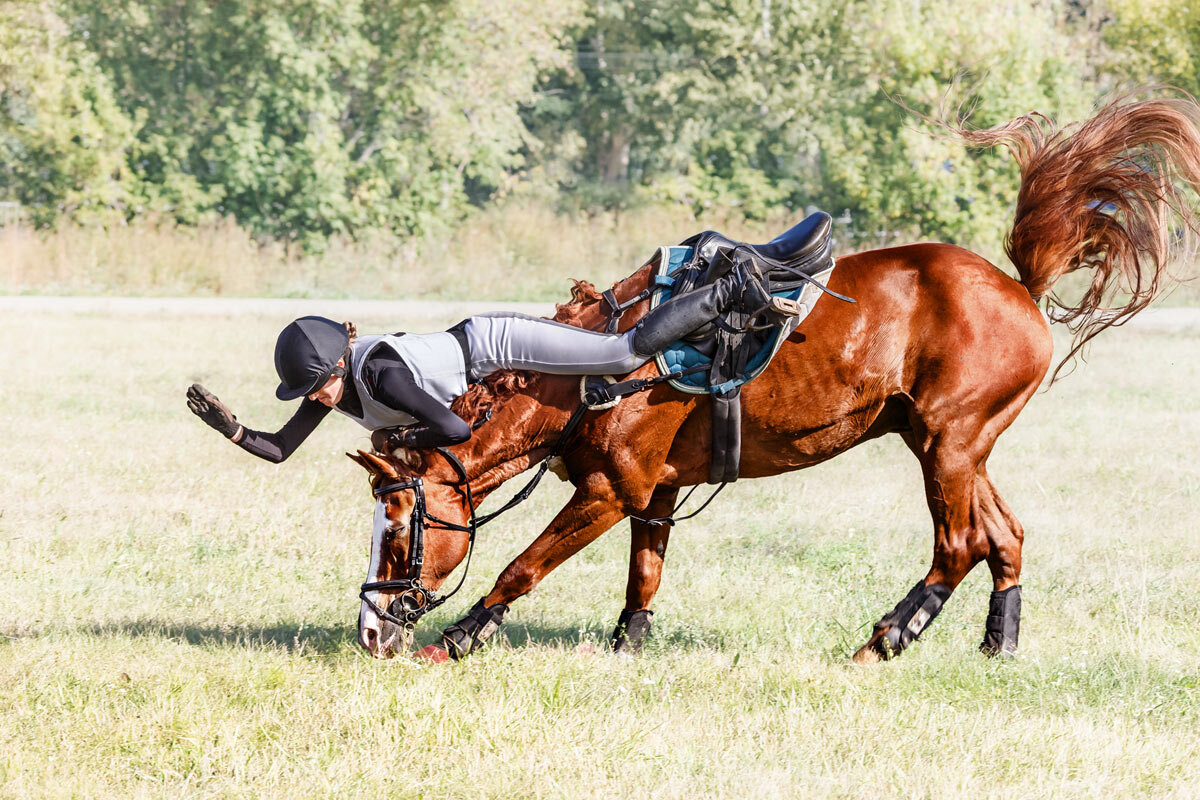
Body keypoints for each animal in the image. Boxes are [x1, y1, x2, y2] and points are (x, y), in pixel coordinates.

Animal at [350, 95, 1200, 662]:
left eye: (399, 524)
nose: (369, 631)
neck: (595, 369)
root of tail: (1020, 288)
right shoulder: (656, 493)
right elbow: (644, 575)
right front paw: (628, 648)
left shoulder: (609, 490)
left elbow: (521, 566)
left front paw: (458, 638)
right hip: (947, 443)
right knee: (1005, 536)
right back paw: (999, 644)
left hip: (951, 444)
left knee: (959, 544)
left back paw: (887, 638)